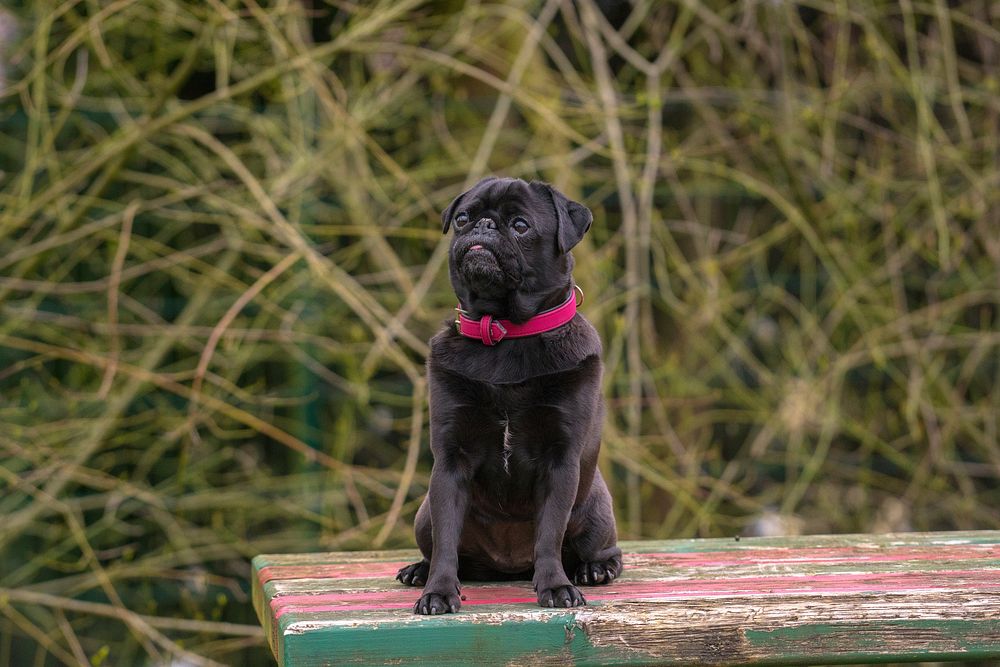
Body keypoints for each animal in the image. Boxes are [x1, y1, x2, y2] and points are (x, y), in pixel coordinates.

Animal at [394, 177, 620, 616]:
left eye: (519, 225)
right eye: (462, 218)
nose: (482, 224)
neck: (504, 332)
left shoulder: (560, 461)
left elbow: (549, 534)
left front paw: (556, 586)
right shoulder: (450, 461)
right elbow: (447, 541)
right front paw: (438, 591)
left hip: (596, 510)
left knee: (602, 549)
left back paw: (595, 569)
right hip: (424, 514)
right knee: (439, 543)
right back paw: (418, 571)